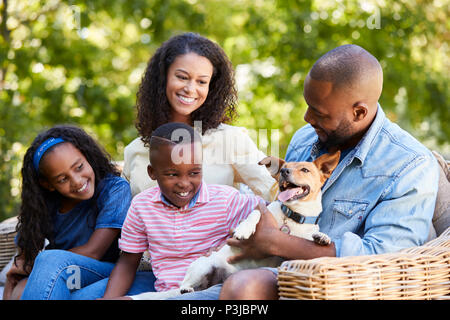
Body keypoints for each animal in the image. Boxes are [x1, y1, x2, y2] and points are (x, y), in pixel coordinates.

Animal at [130, 151, 342, 300]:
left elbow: (311, 237)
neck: (290, 217)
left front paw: (322, 237)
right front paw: (244, 230)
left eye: (305, 170)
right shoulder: (261, 210)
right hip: (202, 267)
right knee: (186, 283)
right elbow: (255, 214)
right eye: (286, 168)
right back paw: (185, 288)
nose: (284, 171)